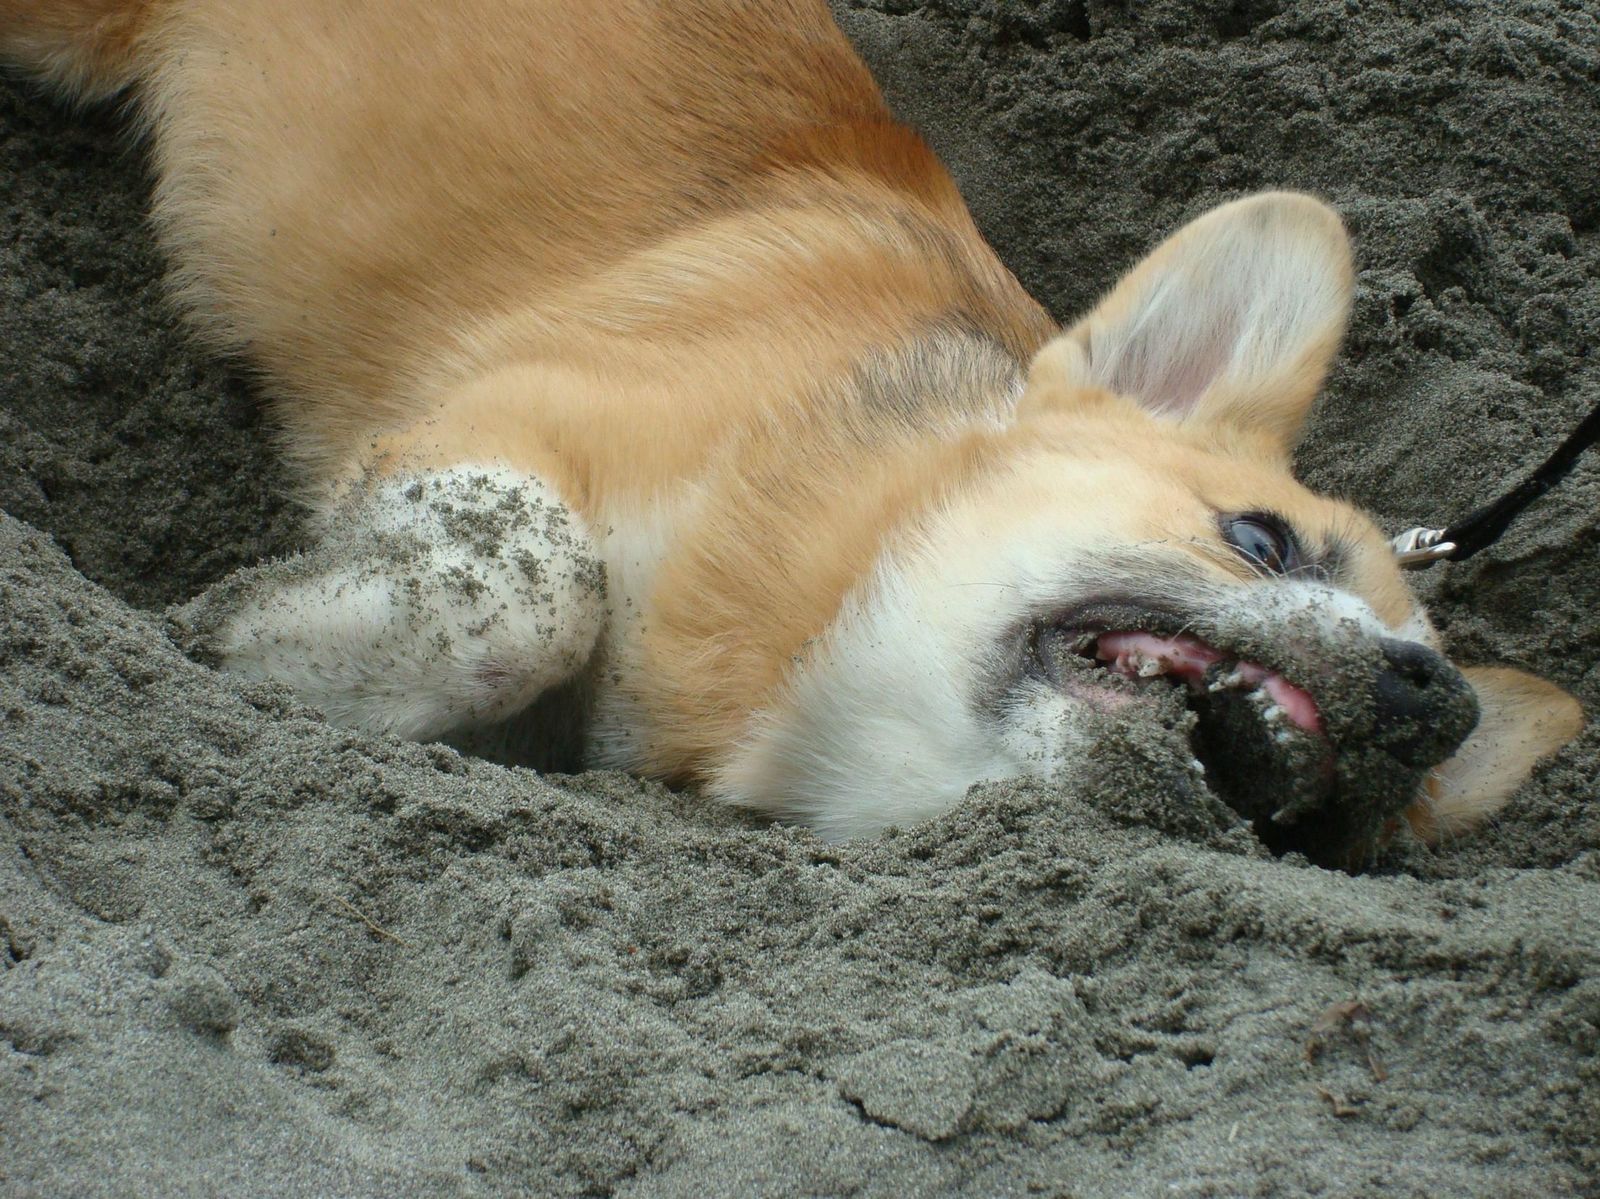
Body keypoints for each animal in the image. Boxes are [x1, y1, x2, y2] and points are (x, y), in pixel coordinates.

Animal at [0, 0, 1574, 858]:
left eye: (1402, 792)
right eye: (1260, 538)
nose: (1437, 703)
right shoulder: (498, 415)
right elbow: (533, 583)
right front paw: (238, 635)